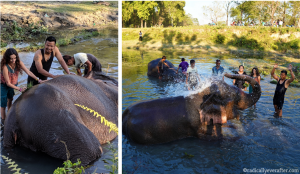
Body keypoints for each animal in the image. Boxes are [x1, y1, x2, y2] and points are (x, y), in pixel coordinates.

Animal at [123, 73, 262, 144]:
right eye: (235, 98)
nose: (226, 74)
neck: (204, 94)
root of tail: (125, 114)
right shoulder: (199, 125)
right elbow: (216, 137)